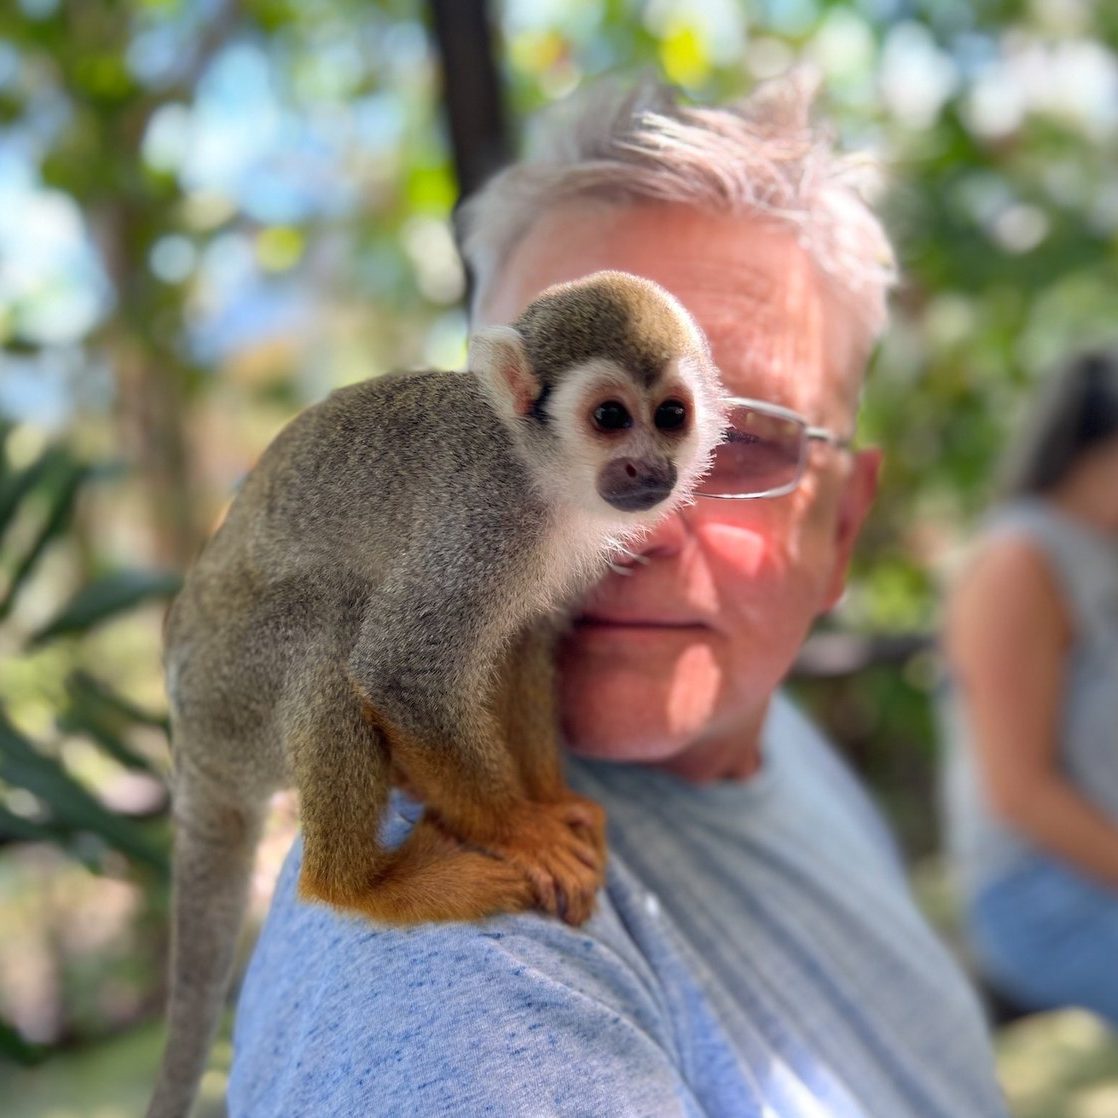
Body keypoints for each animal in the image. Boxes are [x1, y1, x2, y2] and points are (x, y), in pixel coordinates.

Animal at [146, 270, 727, 1118]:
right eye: (611, 417)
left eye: (672, 416)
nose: (651, 470)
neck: (538, 476)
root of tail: (188, 748)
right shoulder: (480, 523)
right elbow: (400, 670)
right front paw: (524, 833)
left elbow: (524, 647)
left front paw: (551, 806)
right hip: (230, 695)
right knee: (329, 621)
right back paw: (365, 884)